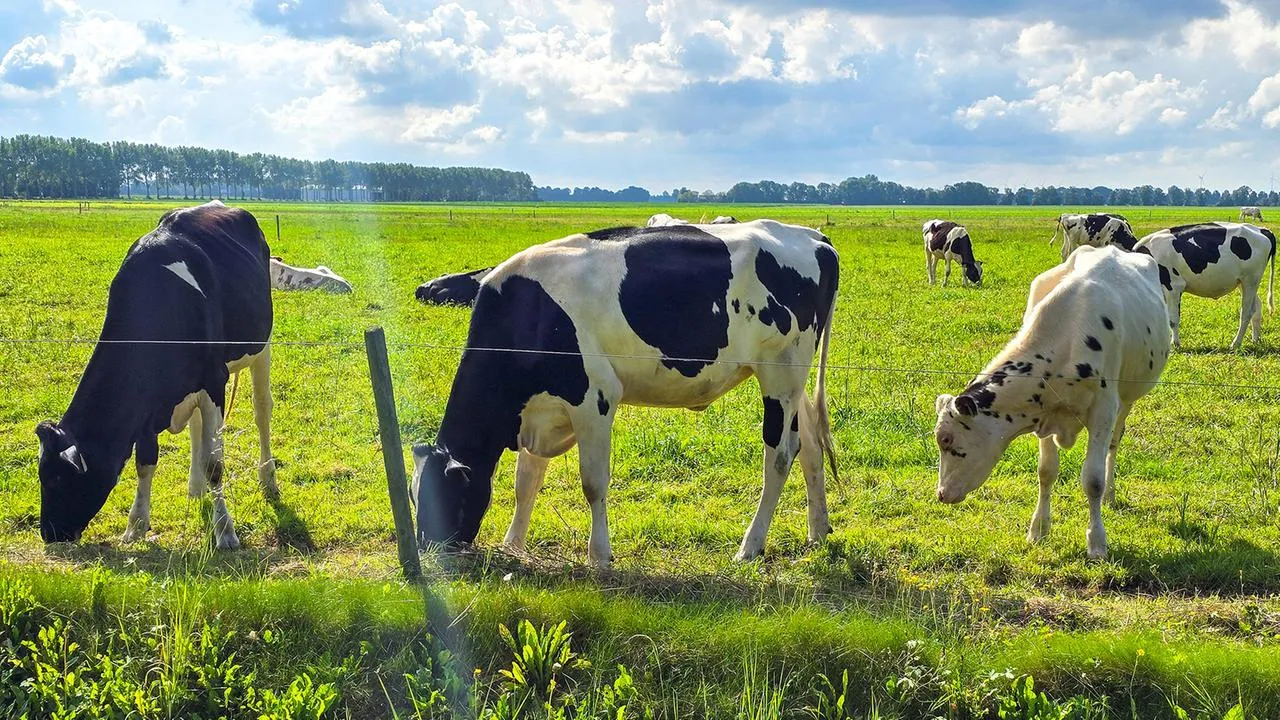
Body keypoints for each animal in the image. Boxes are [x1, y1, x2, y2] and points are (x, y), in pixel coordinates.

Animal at [34, 198, 277, 545]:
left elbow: (215, 464)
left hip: (261, 347)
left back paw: (267, 478)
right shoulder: (146, 402)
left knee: (261, 411)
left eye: (56, 479)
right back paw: (195, 488)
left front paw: (225, 531)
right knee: (197, 427)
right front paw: (135, 525)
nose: (49, 533)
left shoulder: (214, 380)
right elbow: (145, 462)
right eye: (41, 475)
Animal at [409, 215, 844, 563]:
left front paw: (599, 555)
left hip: (780, 372)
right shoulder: (539, 409)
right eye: (415, 497)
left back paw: (750, 546)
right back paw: (818, 531)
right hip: (792, 381)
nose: (427, 551)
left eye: (445, 497)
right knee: (809, 445)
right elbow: (525, 482)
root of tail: (812, 236)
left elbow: (592, 481)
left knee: (780, 456)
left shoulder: (594, 398)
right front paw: (513, 543)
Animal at [931, 245, 1172, 561]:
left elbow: (1092, 479)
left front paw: (1097, 542)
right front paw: (1039, 529)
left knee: (1114, 444)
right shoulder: (1041, 411)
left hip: (1128, 398)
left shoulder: (1104, 409)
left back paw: (1111, 493)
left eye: (947, 440)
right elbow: (1046, 472)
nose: (942, 493)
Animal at [1136, 221, 1274, 351]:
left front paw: (1175, 344)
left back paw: (1235, 344)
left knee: (1246, 312)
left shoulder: (1173, 287)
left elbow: (1173, 319)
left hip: (1250, 280)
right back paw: (1255, 340)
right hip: (1244, 282)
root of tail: (1261, 229)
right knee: (1257, 306)